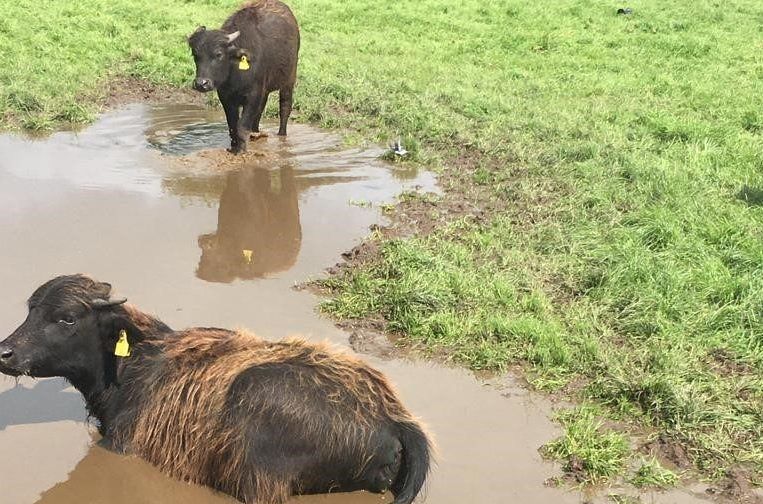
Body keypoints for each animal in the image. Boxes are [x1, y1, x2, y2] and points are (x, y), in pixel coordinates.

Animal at [0, 275, 433, 504]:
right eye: (31, 310)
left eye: (67, 318)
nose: (5, 352)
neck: (131, 364)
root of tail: (392, 416)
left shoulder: (121, 444)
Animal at [189, 0, 300, 154]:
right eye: (195, 55)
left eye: (218, 54)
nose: (201, 83)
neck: (235, 73)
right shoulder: (226, 97)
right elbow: (232, 126)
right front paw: (234, 147)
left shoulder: (253, 94)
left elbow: (242, 125)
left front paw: (241, 150)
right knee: (260, 110)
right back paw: (255, 133)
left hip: (289, 79)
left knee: (285, 107)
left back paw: (281, 134)